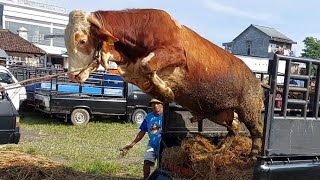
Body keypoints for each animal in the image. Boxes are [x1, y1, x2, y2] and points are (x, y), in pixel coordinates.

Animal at [64, 8, 262, 155]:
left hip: (249, 108)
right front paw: (162, 89)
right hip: (219, 111)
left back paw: (253, 154)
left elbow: (147, 65)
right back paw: (219, 149)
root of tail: (255, 78)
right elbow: (144, 71)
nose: (72, 75)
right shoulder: (131, 69)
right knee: (234, 126)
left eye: (82, 40)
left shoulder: (176, 53)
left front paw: (166, 91)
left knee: (257, 129)